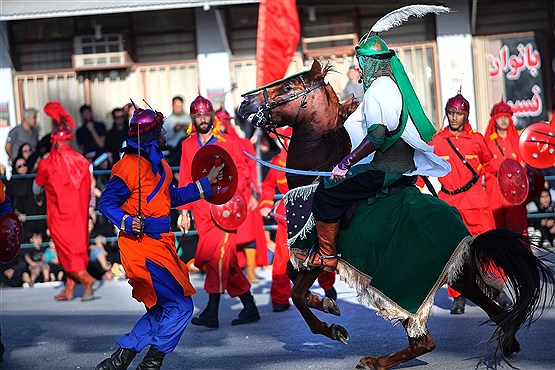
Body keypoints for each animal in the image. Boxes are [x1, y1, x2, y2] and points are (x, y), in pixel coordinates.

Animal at [240, 59, 555, 368]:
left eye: (288, 86)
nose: (245, 103)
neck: (317, 174)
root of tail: (468, 236)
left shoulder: (314, 255)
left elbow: (297, 294)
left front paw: (332, 327)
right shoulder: (304, 255)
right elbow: (293, 279)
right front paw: (327, 305)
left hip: (405, 287)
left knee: (424, 341)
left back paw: (374, 361)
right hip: (459, 277)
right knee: (494, 311)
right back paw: (508, 342)